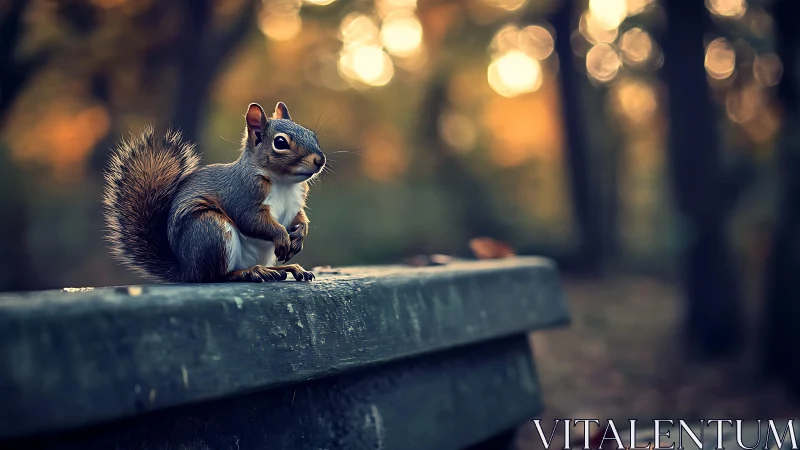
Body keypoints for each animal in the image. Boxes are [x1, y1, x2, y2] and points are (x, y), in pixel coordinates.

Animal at [102, 102, 326, 283]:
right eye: (280, 143)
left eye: (312, 135)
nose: (319, 159)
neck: (284, 183)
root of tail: (186, 270)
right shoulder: (242, 194)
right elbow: (251, 220)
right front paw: (282, 236)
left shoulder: (295, 204)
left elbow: (300, 218)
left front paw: (300, 235)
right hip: (211, 231)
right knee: (215, 275)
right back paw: (250, 272)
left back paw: (284, 269)